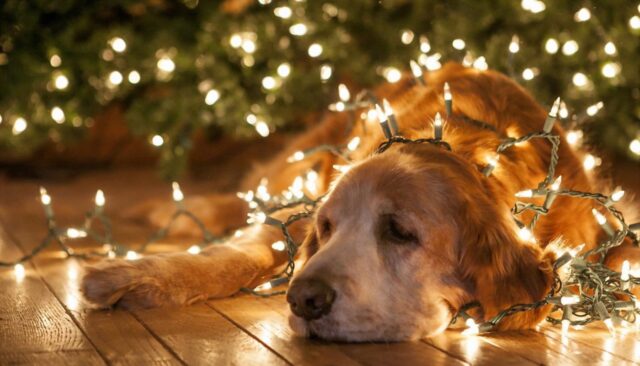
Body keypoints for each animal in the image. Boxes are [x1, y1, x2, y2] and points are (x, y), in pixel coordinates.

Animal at [81, 62, 636, 340]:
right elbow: (245, 251)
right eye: (327, 228)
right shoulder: (296, 215)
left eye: (401, 232)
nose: (303, 300)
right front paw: (135, 275)